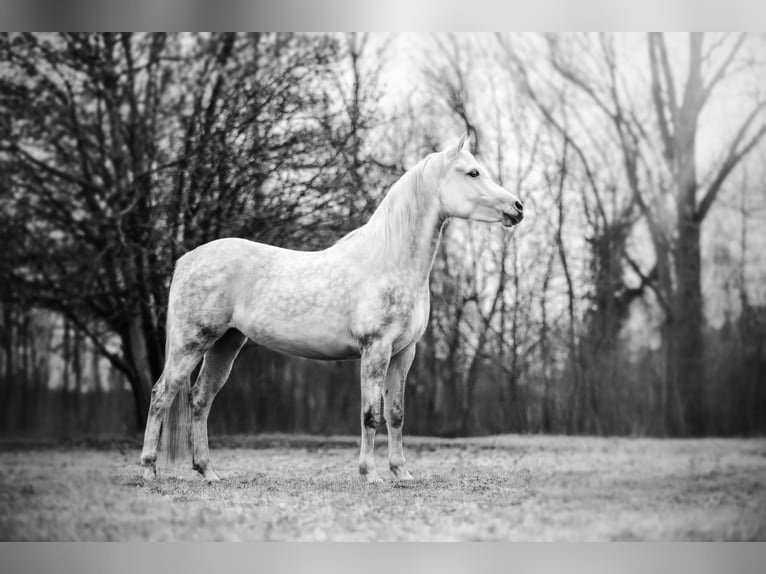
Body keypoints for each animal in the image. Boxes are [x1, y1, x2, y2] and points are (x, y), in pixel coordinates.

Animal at [139, 134, 524, 483]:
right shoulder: (375, 349)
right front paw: (371, 475)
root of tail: (187, 260)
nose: (517, 207)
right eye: (472, 172)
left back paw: (208, 472)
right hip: (192, 342)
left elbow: (396, 414)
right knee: (162, 395)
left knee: (200, 400)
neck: (389, 259)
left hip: (225, 344)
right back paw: (148, 470)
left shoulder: (404, 353)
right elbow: (370, 413)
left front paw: (402, 473)